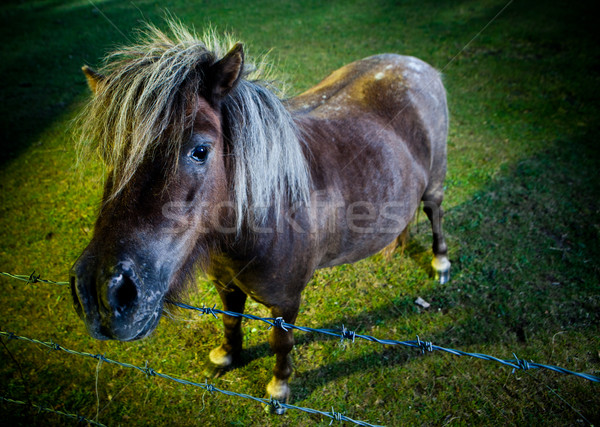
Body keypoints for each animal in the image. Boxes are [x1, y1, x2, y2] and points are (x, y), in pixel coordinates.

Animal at [71, 20, 450, 414]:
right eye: (109, 153)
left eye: (200, 151)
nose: (100, 293)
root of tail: (415, 64)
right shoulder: (225, 284)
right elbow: (230, 320)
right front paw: (226, 356)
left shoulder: (286, 302)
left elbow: (281, 343)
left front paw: (279, 389)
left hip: (435, 183)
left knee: (434, 212)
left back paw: (440, 263)